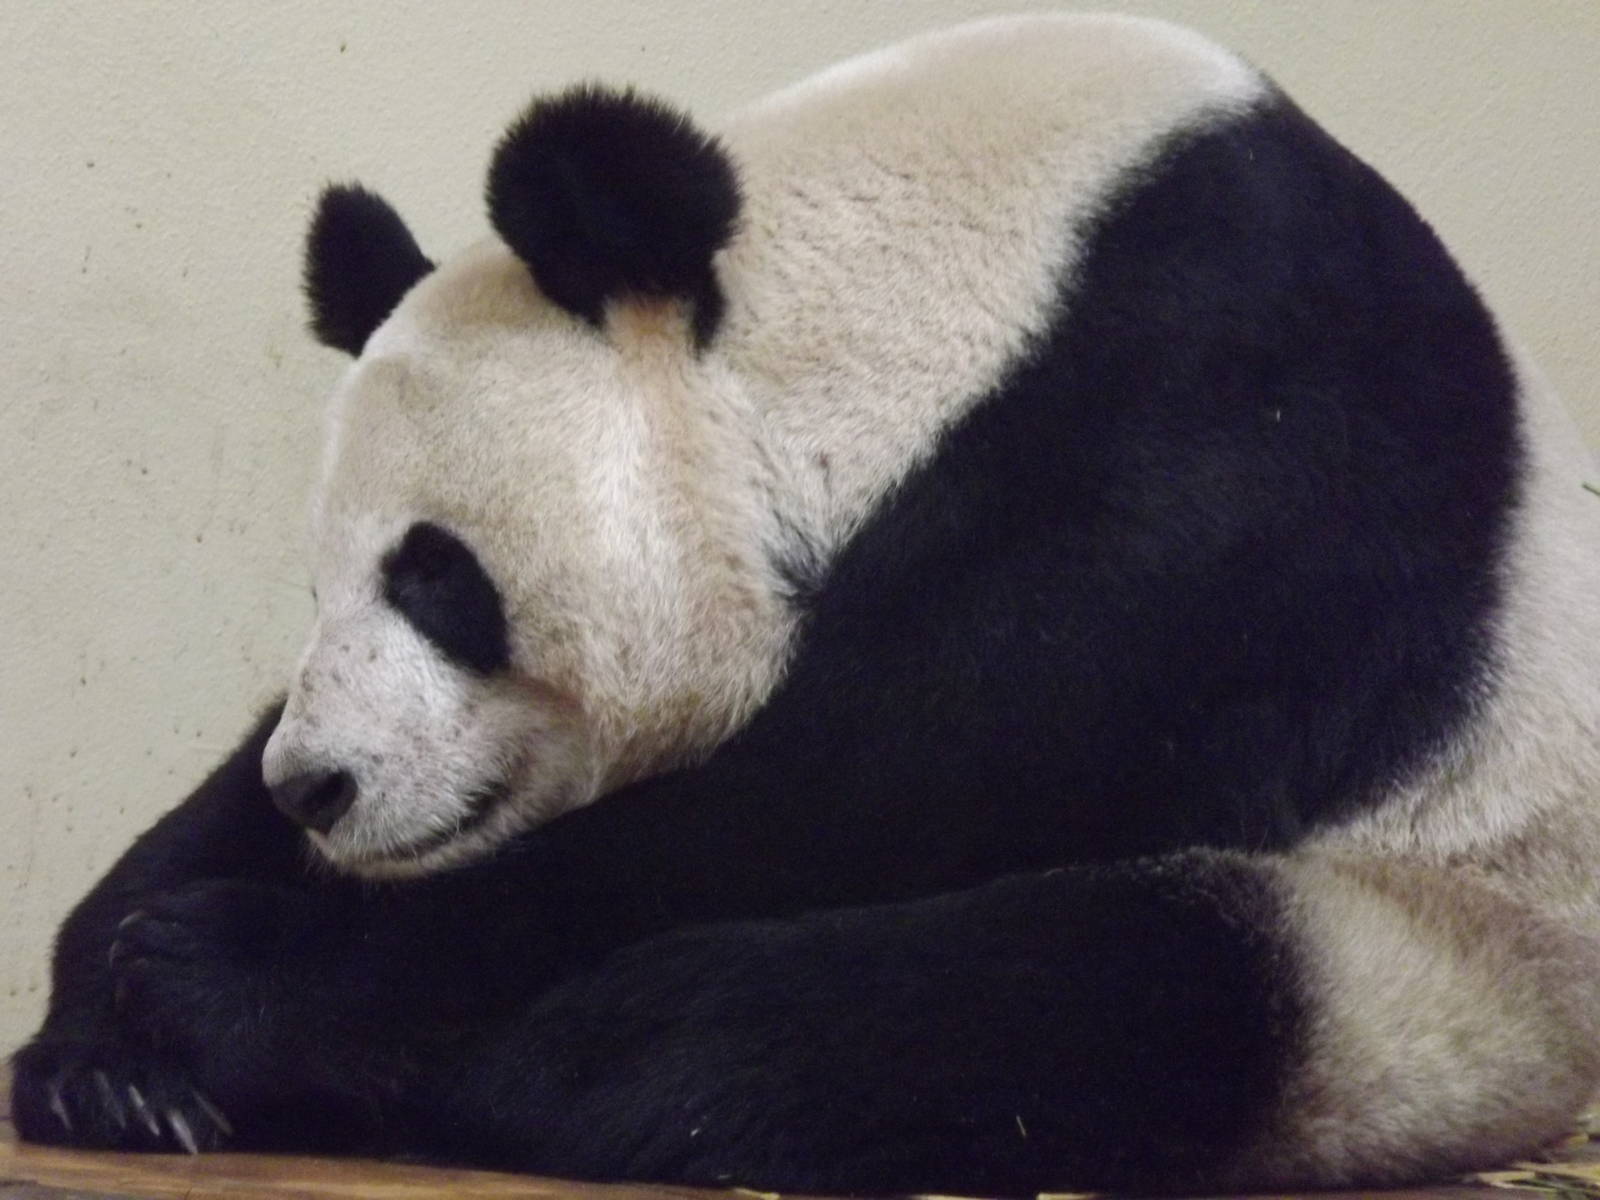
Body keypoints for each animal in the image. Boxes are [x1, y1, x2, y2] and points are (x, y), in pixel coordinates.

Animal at [12, 11, 1600, 1195]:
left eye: (434, 575)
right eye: (325, 580)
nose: (320, 789)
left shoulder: (1230, 443)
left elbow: (914, 779)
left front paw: (213, 975)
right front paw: (103, 1047)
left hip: (1432, 946)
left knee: (1020, 1006)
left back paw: (505, 1068)